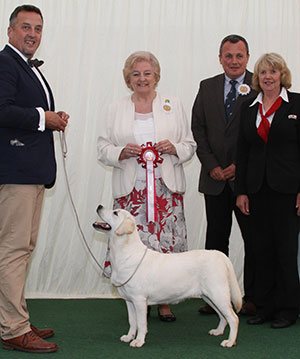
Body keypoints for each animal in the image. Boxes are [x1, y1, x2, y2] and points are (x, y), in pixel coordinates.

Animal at [92, 205, 243, 348]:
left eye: (115, 213)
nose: (99, 206)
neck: (125, 253)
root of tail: (220, 255)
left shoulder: (139, 300)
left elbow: (141, 323)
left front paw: (139, 341)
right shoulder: (129, 301)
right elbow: (132, 322)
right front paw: (129, 337)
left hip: (218, 294)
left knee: (233, 318)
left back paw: (230, 341)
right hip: (209, 297)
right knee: (223, 316)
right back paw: (218, 332)